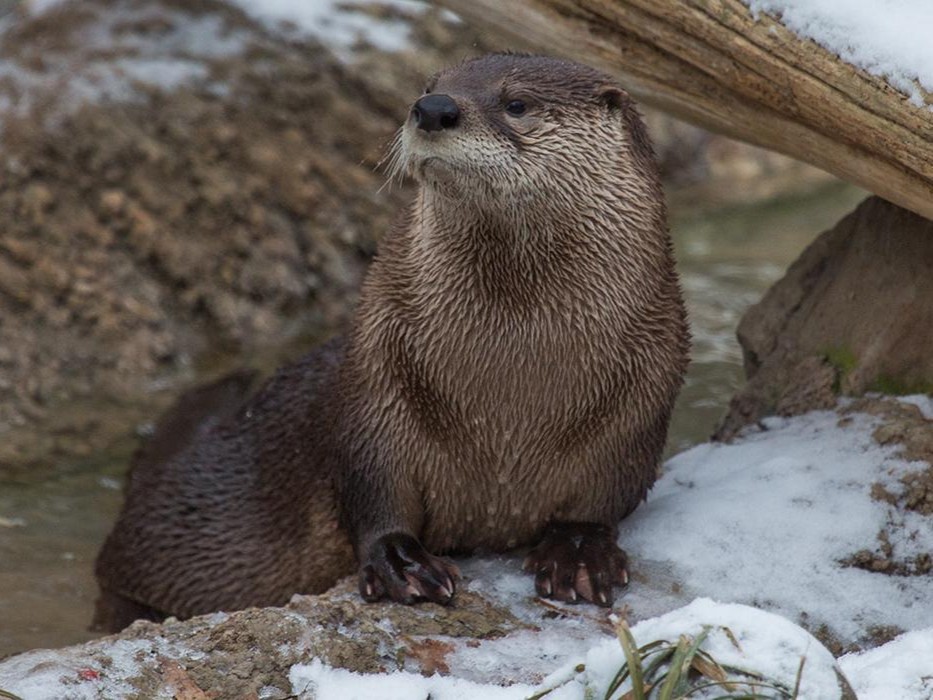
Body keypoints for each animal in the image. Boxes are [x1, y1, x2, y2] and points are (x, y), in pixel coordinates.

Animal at [93, 53, 689, 632]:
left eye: (517, 103)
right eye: (429, 84)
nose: (433, 109)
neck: (509, 398)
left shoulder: (641, 397)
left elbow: (603, 495)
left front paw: (579, 553)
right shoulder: (377, 379)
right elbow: (373, 487)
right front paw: (401, 562)